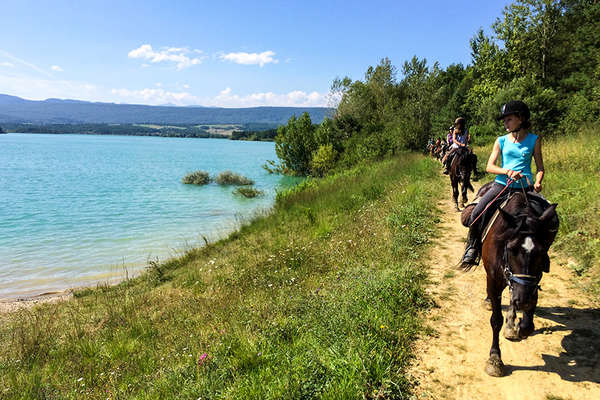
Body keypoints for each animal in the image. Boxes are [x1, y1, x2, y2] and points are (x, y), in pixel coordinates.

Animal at [464, 186, 556, 376]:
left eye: (541, 252)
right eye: (511, 249)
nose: (524, 301)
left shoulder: (532, 282)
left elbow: (528, 323)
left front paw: (520, 326)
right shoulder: (493, 280)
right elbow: (496, 320)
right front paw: (495, 359)